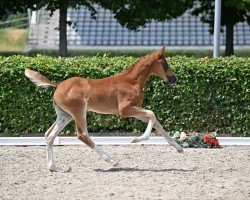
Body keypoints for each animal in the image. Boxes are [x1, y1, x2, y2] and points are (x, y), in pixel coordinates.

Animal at [25, 46, 184, 171]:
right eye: (165, 64)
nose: (174, 79)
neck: (131, 81)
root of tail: (57, 85)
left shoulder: (135, 109)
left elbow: (156, 121)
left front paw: (179, 148)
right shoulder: (125, 110)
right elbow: (152, 114)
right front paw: (137, 139)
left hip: (65, 115)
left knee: (49, 135)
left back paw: (53, 167)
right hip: (79, 111)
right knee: (82, 135)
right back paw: (113, 161)